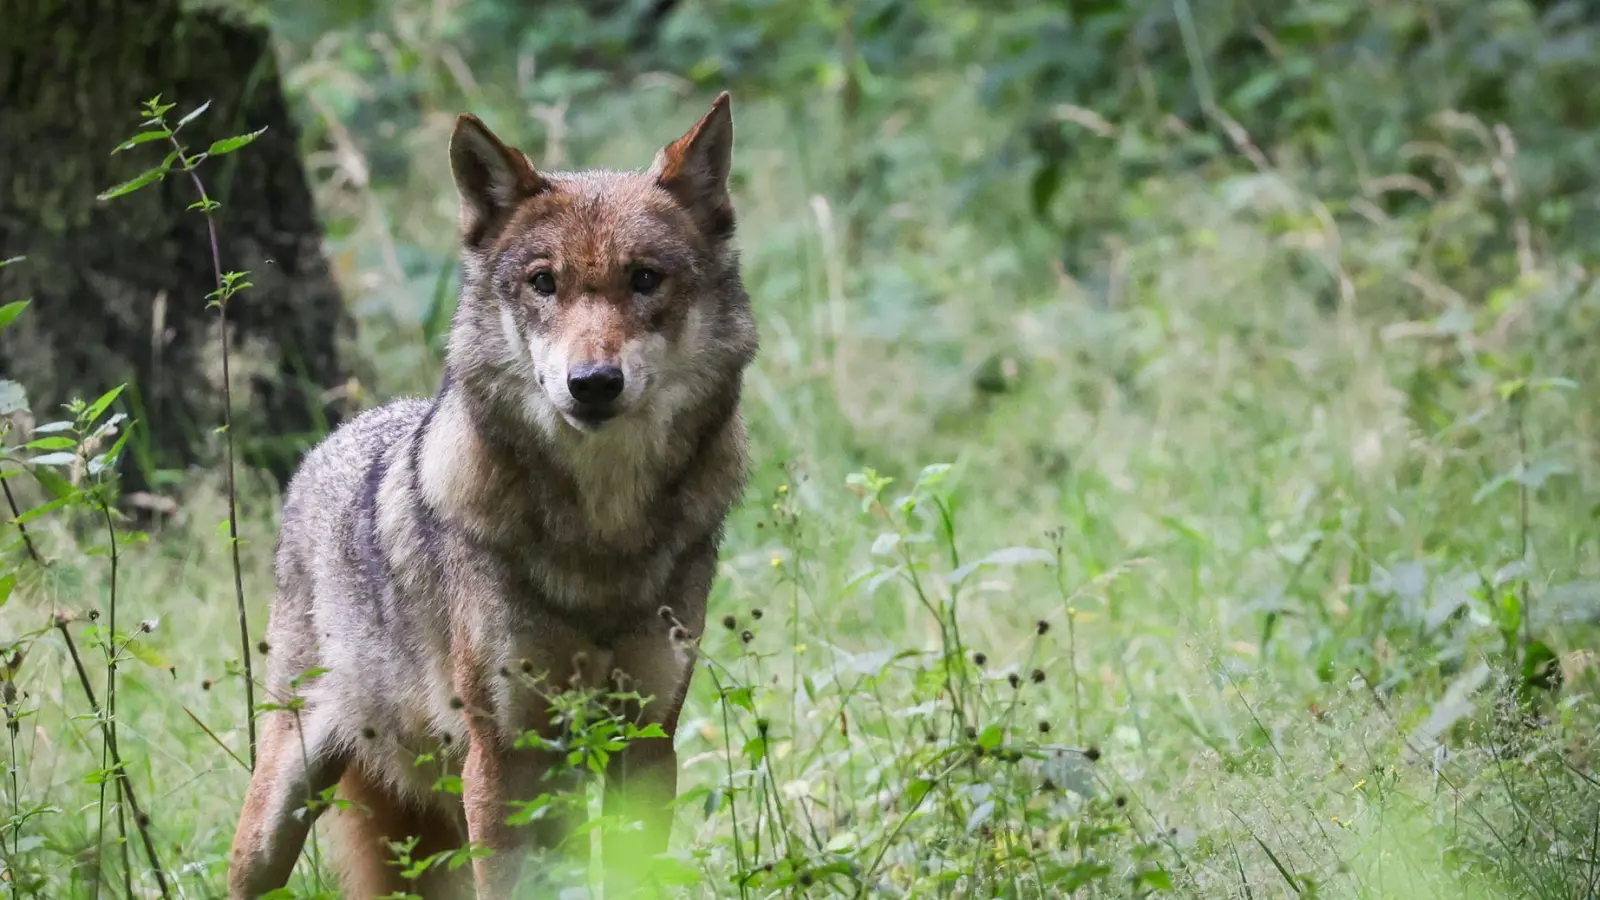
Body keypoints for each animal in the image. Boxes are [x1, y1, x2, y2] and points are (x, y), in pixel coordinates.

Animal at [227, 92, 761, 896]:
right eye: (543, 282)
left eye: (645, 279)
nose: (592, 383)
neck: (601, 535)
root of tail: (329, 443)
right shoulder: (505, 755)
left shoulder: (644, 741)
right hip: (279, 820)